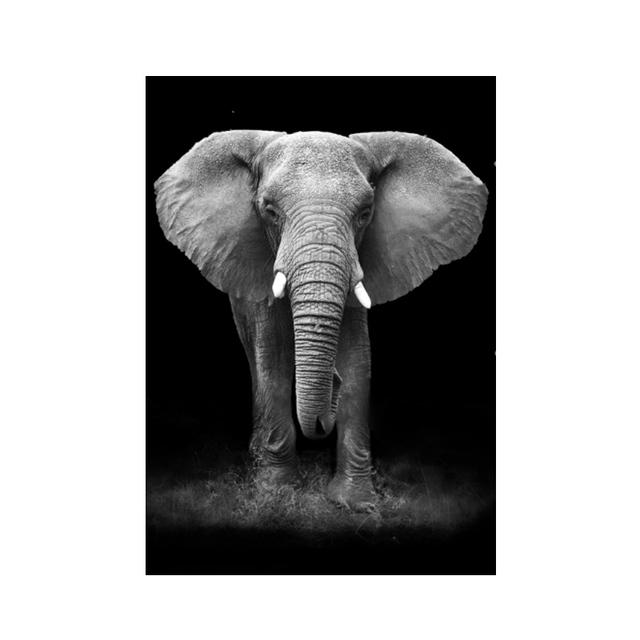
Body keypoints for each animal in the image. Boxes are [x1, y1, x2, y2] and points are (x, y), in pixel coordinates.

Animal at [155, 130, 488, 511]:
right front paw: (276, 494)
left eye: (365, 213)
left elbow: (358, 363)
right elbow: (273, 363)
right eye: (269, 211)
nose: (331, 388)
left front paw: (355, 502)